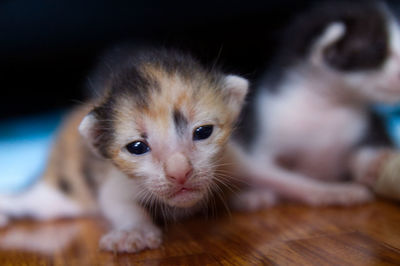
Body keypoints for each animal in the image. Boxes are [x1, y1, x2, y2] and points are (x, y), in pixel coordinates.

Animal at [0, 46, 248, 252]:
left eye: (203, 132)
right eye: (137, 147)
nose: (179, 172)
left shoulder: (231, 159)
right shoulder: (118, 180)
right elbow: (117, 202)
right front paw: (134, 231)